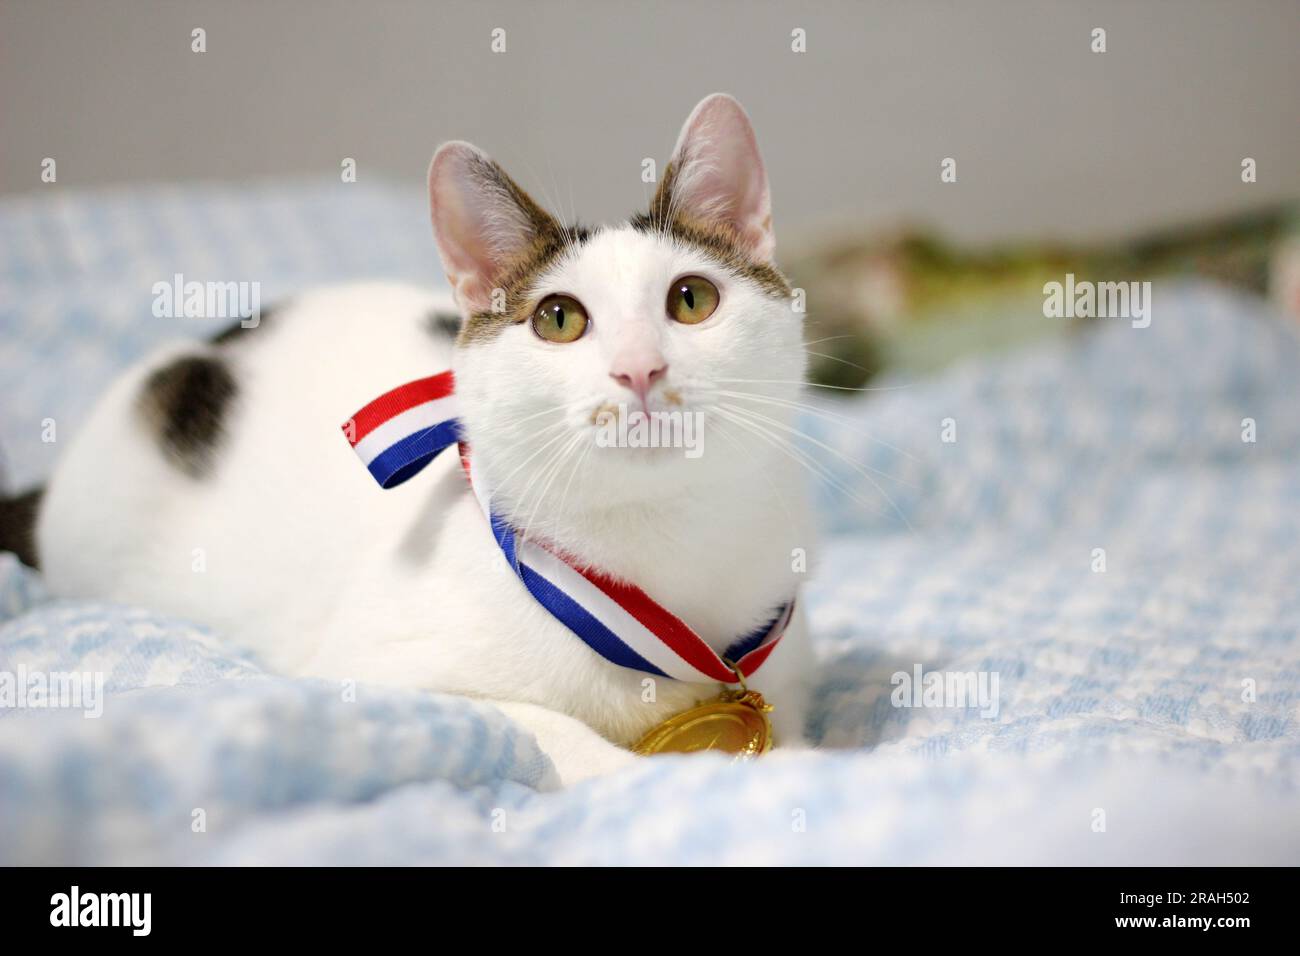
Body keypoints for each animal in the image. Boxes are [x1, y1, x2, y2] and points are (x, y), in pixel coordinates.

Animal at [5, 95, 811, 785]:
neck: (662, 545)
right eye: (558, 318)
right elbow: (547, 729)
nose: (639, 368)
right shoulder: (366, 673)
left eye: (692, 299)